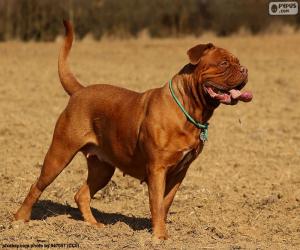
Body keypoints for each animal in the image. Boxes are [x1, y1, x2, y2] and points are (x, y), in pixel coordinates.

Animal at [15, 21, 252, 238]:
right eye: (223, 63)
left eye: (238, 62)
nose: (245, 69)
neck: (189, 110)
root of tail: (79, 91)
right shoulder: (157, 169)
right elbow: (156, 203)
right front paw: (159, 237)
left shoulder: (179, 172)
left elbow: (165, 204)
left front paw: (159, 230)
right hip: (60, 153)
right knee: (37, 185)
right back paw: (20, 220)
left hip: (102, 168)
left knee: (82, 194)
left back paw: (93, 225)